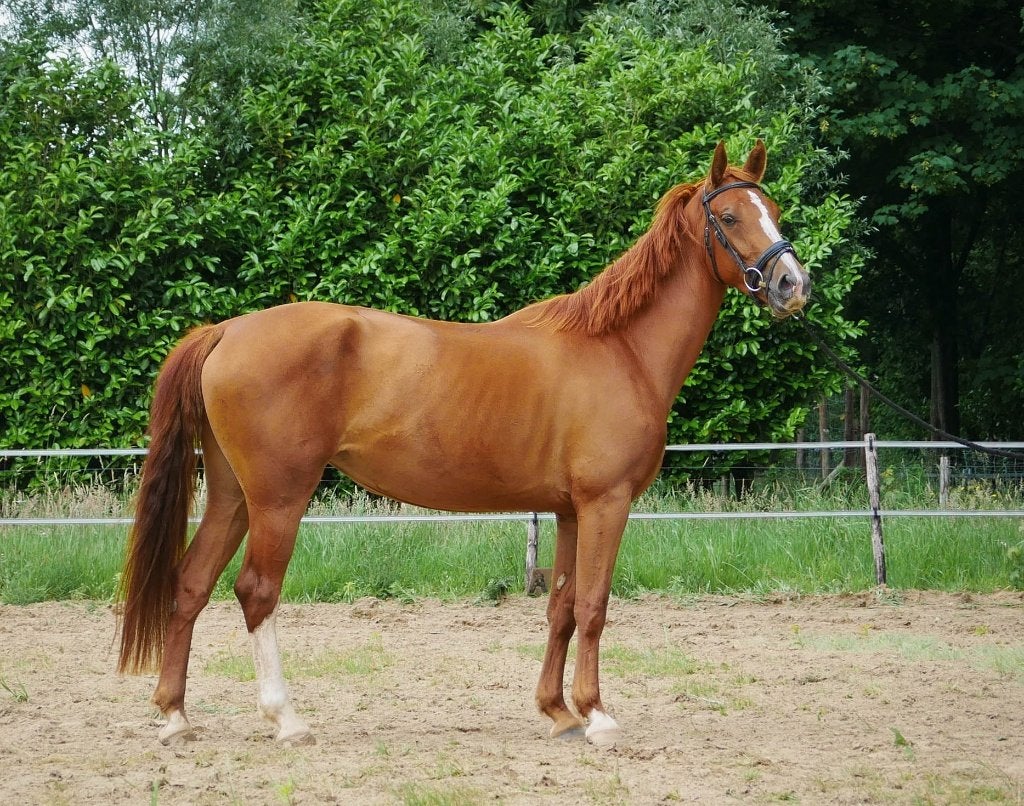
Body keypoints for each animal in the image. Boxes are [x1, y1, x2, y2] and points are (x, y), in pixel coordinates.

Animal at [117, 140, 810, 747]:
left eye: (775, 210)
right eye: (728, 216)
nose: (791, 285)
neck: (619, 350)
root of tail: (226, 330)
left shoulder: (568, 511)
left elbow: (560, 607)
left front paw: (558, 713)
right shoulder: (605, 504)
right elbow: (593, 605)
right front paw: (597, 716)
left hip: (232, 495)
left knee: (191, 584)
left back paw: (175, 717)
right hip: (277, 499)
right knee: (255, 591)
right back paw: (285, 719)